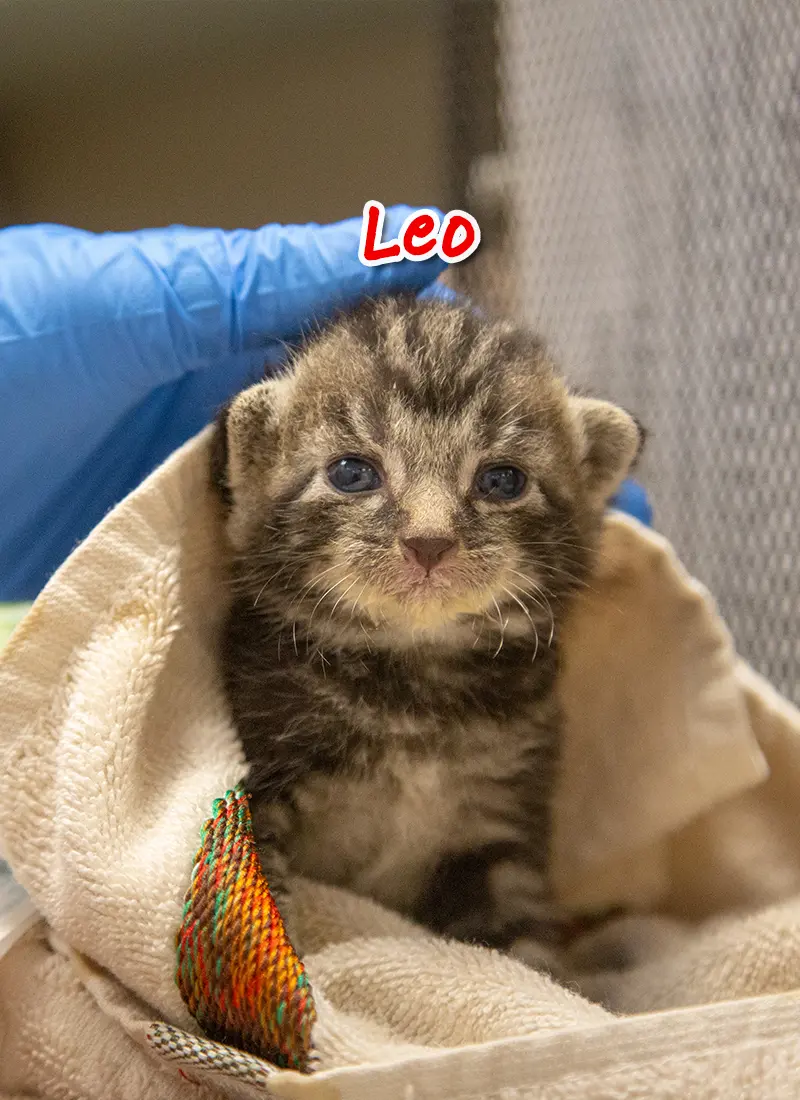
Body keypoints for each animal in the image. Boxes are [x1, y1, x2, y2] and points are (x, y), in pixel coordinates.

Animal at [212, 294, 642, 954]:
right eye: (353, 473)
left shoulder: (500, 814)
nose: (429, 541)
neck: (413, 690)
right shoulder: (264, 767)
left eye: (502, 480)